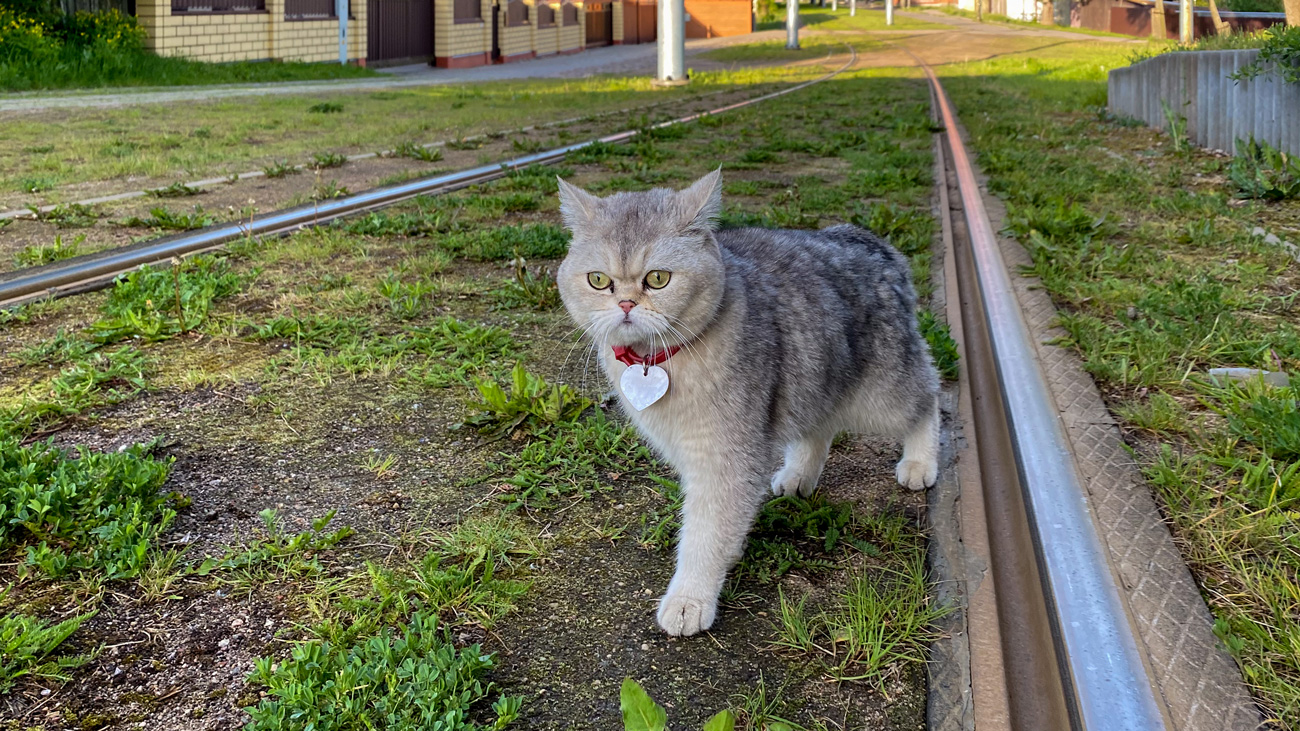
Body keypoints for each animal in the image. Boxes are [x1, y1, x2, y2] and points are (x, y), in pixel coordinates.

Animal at [553, 169, 941, 632]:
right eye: (598, 280)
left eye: (658, 279)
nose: (626, 303)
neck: (659, 359)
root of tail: (860, 236)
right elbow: (717, 523)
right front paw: (728, 552)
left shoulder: (726, 457)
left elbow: (706, 533)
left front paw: (690, 596)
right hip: (816, 377)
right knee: (822, 427)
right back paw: (799, 475)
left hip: (882, 395)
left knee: (930, 396)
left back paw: (920, 462)